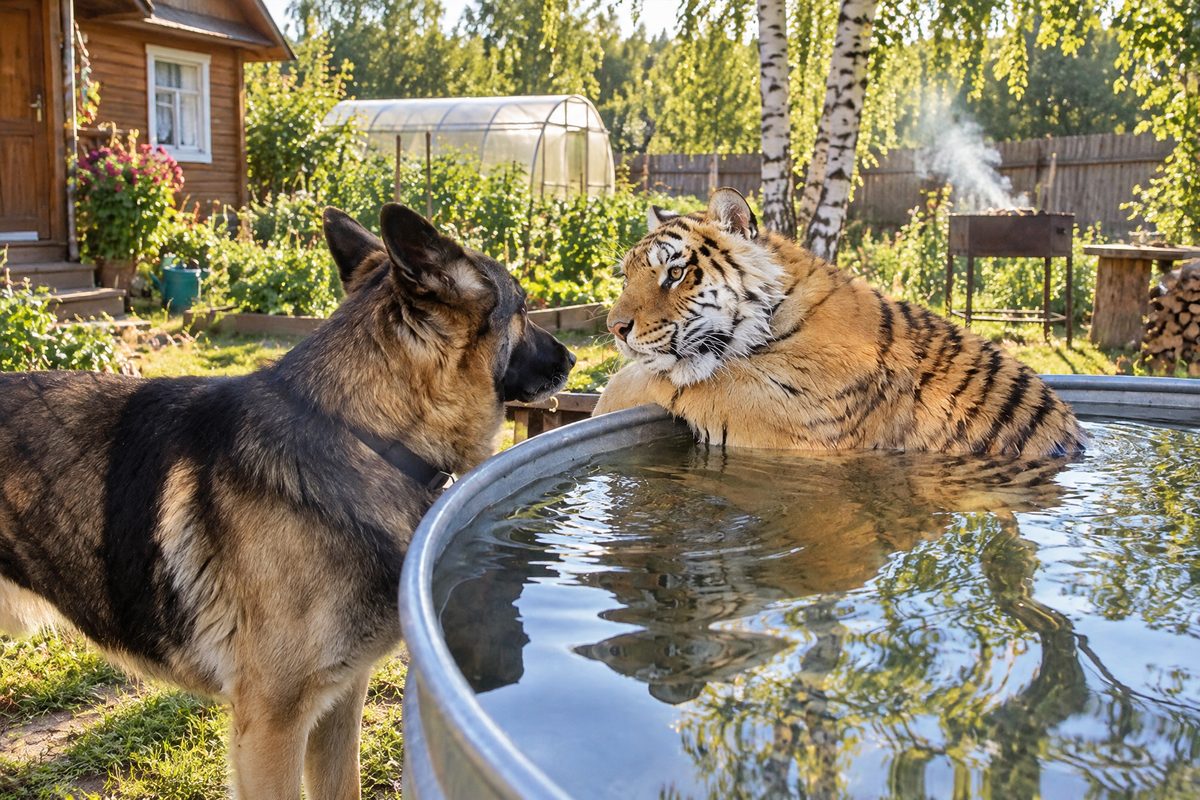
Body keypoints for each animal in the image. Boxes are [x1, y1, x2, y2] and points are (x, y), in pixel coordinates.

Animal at [593, 187, 1085, 458]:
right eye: (626, 276)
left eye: (674, 273)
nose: (616, 329)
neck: (779, 309)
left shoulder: (785, 408)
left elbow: (655, 378)